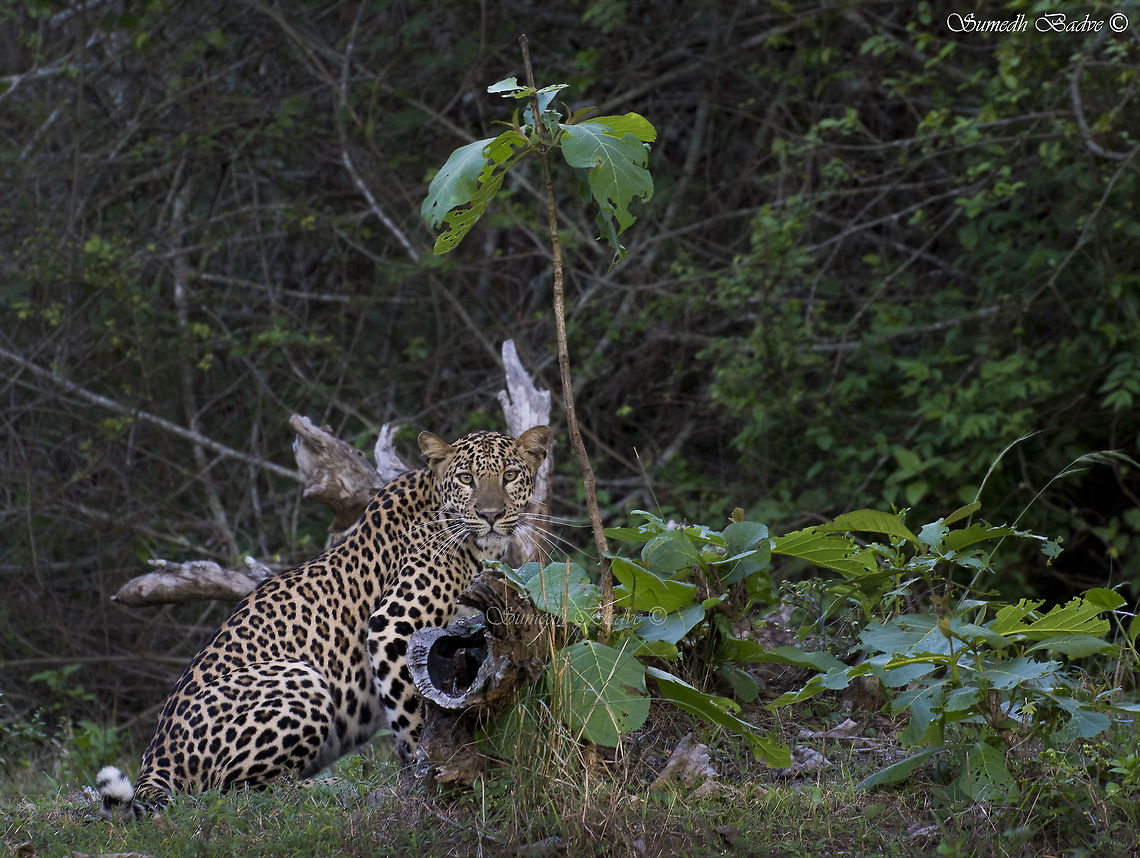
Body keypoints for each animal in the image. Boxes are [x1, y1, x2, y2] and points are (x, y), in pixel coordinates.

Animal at [98, 425, 552, 817]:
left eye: (510, 475)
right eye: (466, 479)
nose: (490, 514)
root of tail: (154, 761)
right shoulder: (392, 626)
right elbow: (413, 715)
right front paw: (428, 772)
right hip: (298, 678)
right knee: (231, 791)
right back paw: (331, 787)